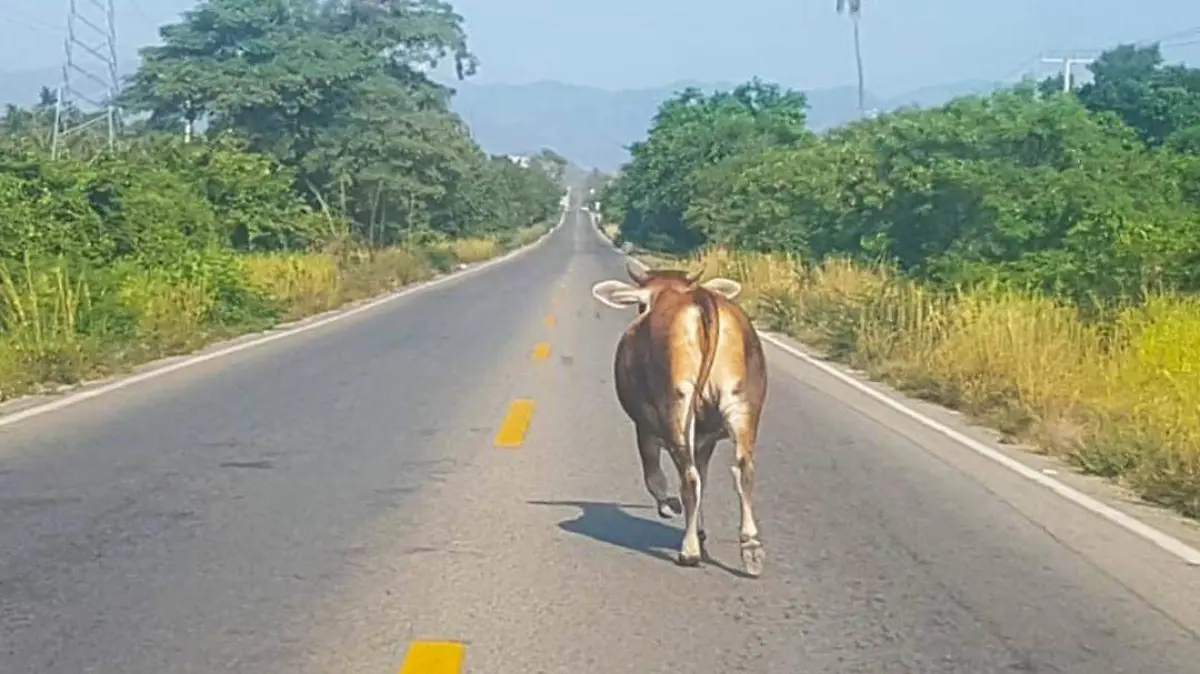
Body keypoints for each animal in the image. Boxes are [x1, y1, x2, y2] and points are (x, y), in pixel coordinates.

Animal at [590, 260, 768, 575]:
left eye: (641, 304)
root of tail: (701, 298)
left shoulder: (644, 426)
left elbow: (653, 476)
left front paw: (670, 506)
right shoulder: (706, 439)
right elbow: (706, 477)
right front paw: (700, 530)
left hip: (677, 404)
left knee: (689, 477)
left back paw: (689, 551)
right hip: (742, 403)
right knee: (742, 470)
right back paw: (750, 548)